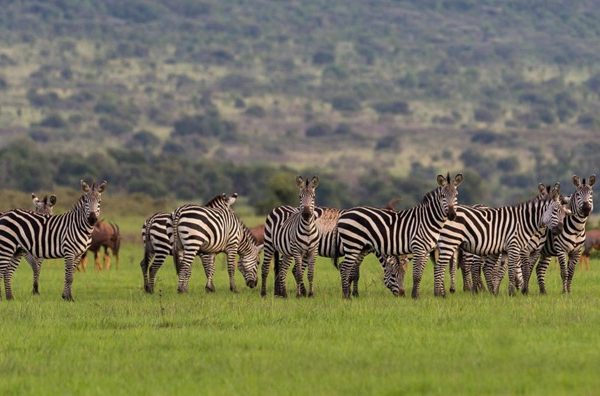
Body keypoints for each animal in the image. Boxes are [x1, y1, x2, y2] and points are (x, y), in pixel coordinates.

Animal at [434, 181, 564, 296]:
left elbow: (515, 271)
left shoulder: (518, 250)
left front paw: (514, 291)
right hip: (452, 242)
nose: (560, 229)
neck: (524, 222)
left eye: (563, 211)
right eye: (555, 211)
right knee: (445, 266)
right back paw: (444, 293)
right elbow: (516, 270)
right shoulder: (516, 247)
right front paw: (515, 292)